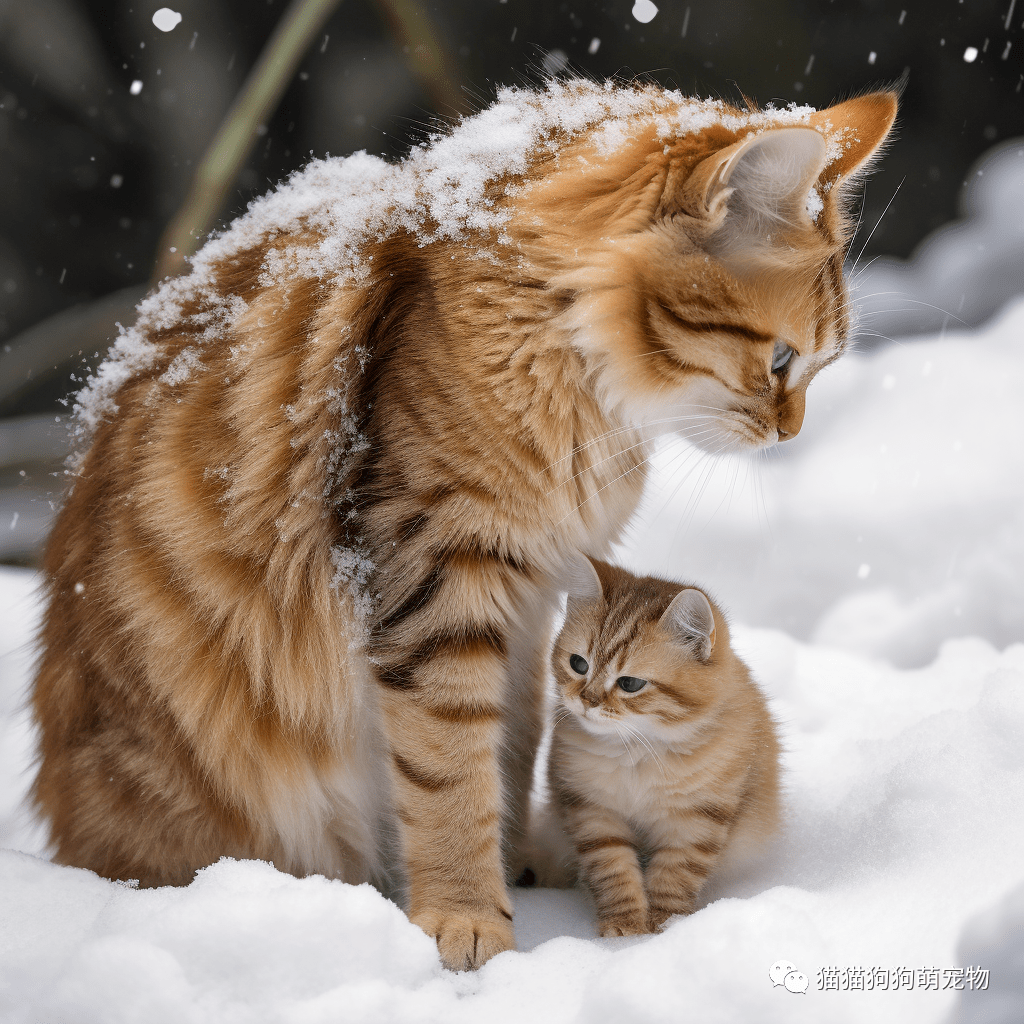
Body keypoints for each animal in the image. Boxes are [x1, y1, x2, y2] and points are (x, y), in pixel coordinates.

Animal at [548, 561, 778, 937]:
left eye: (630, 683)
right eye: (578, 664)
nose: (587, 700)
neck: (636, 752)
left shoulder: (696, 820)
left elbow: (675, 875)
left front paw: (663, 925)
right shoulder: (592, 811)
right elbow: (613, 870)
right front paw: (625, 924)